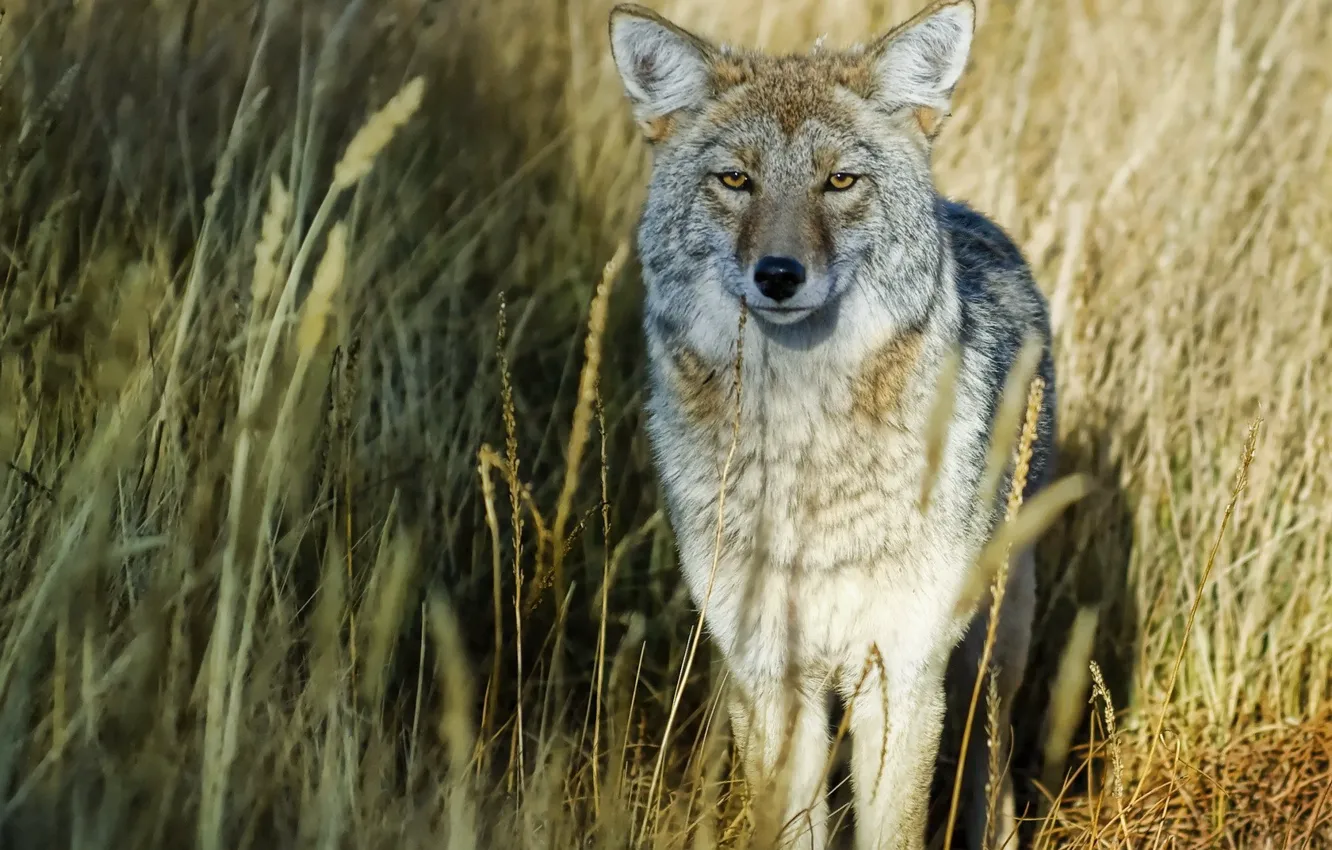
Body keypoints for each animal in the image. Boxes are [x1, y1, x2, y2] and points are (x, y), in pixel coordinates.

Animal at [608, 2, 1057, 848]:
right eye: (737, 180)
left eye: (839, 180)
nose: (779, 275)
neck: (805, 453)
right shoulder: (770, 679)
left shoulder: (903, 677)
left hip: (987, 656)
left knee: (995, 766)